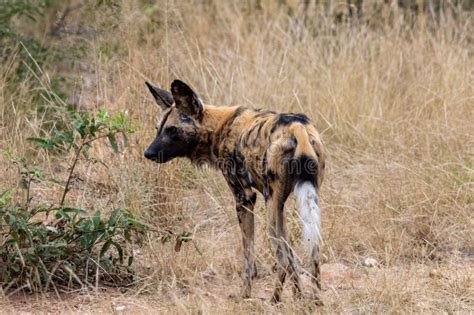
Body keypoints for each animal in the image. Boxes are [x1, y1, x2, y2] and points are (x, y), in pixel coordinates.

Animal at [144, 79, 326, 304]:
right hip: (297, 203)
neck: (219, 128)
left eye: (172, 130)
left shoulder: (245, 198)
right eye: (158, 129)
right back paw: (315, 301)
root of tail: (297, 127)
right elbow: (294, 259)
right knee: (312, 254)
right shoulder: (279, 205)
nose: (148, 153)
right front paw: (299, 296)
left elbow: (249, 256)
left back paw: (274, 300)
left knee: (282, 258)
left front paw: (244, 294)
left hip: (270, 207)